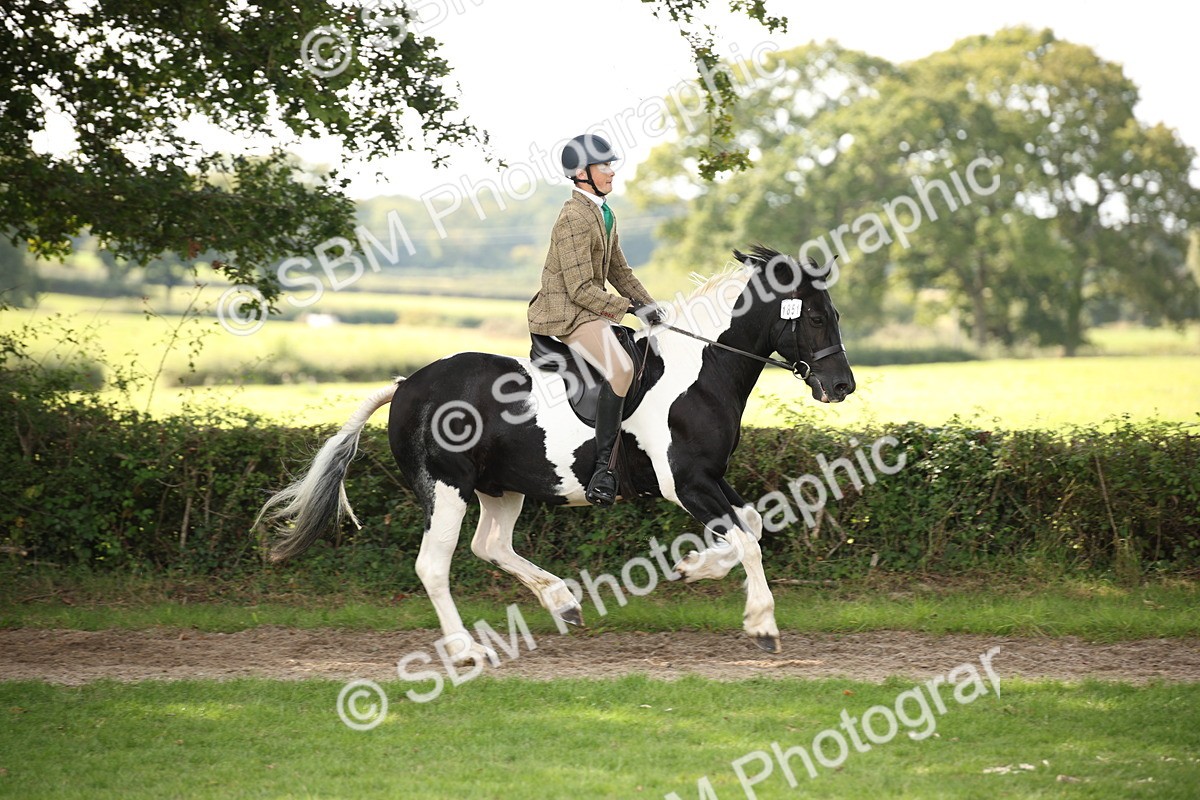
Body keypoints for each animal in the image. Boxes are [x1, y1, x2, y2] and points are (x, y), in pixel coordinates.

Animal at [256, 245, 856, 663]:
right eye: (816, 317)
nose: (842, 386)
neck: (700, 369)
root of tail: (407, 387)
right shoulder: (686, 483)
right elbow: (747, 541)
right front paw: (763, 626)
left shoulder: (710, 477)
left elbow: (751, 525)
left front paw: (692, 568)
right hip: (447, 488)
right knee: (434, 564)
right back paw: (466, 650)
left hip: (503, 487)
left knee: (490, 545)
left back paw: (562, 601)